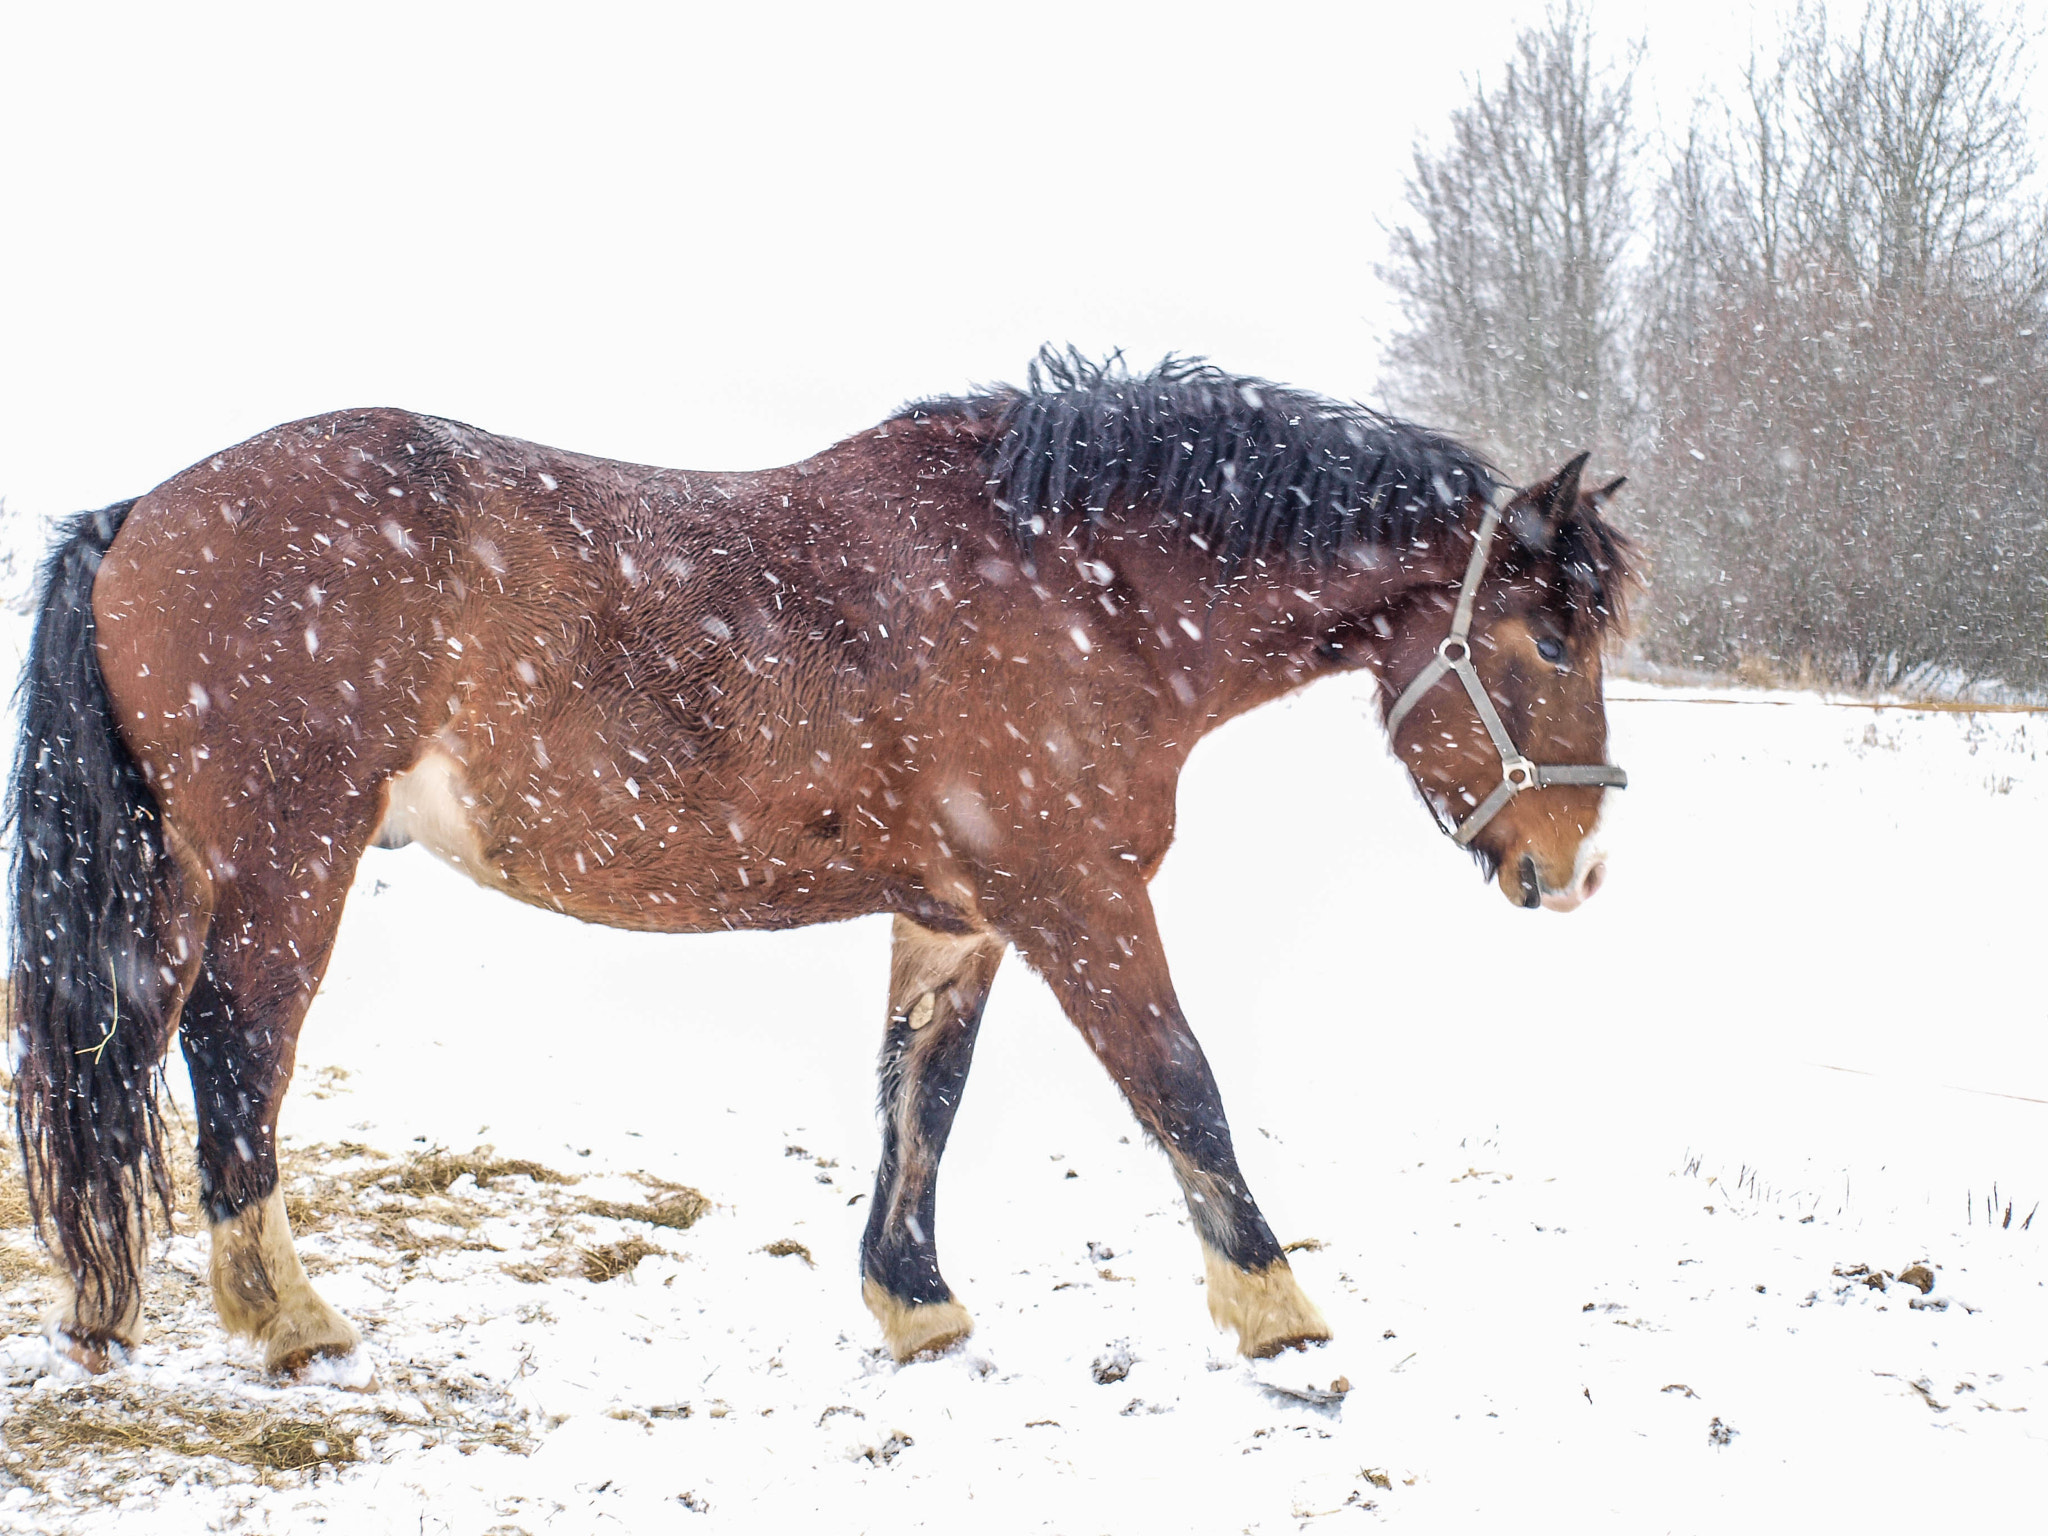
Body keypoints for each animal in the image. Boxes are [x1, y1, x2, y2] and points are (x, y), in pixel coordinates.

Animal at [4, 354, 1630, 1376]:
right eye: (1549, 639)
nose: (1574, 868)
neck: (1078, 589)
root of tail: (137, 516)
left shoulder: (960, 919)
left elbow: (922, 1102)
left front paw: (916, 1307)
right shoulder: (1080, 903)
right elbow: (1179, 1084)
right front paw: (1278, 1314)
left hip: (185, 878)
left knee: (116, 1057)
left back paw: (112, 1315)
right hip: (290, 863)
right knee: (231, 1053)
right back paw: (288, 1323)